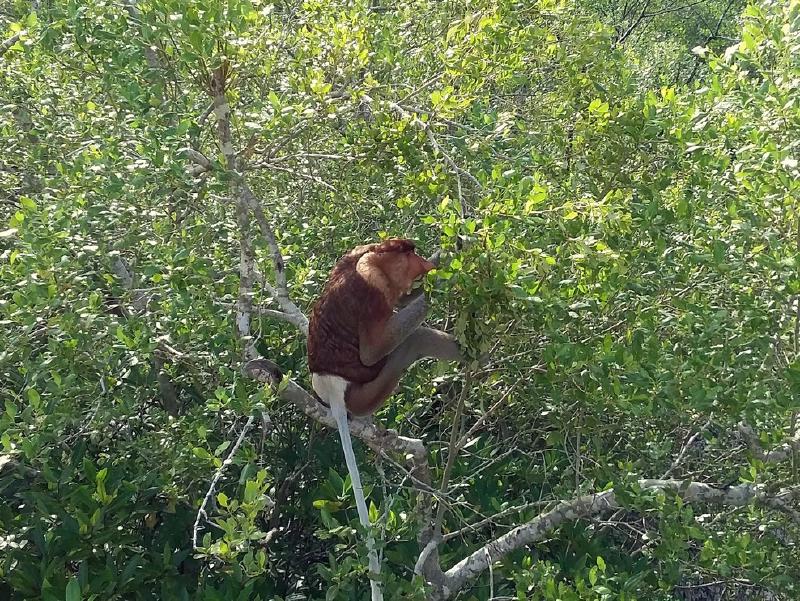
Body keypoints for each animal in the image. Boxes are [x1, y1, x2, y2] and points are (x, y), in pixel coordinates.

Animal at [306, 238, 463, 599]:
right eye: (411, 255)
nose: (423, 263)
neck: (371, 256)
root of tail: (330, 388)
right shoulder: (371, 286)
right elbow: (373, 350)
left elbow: (402, 299)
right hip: (368, 390)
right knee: (414, 340)